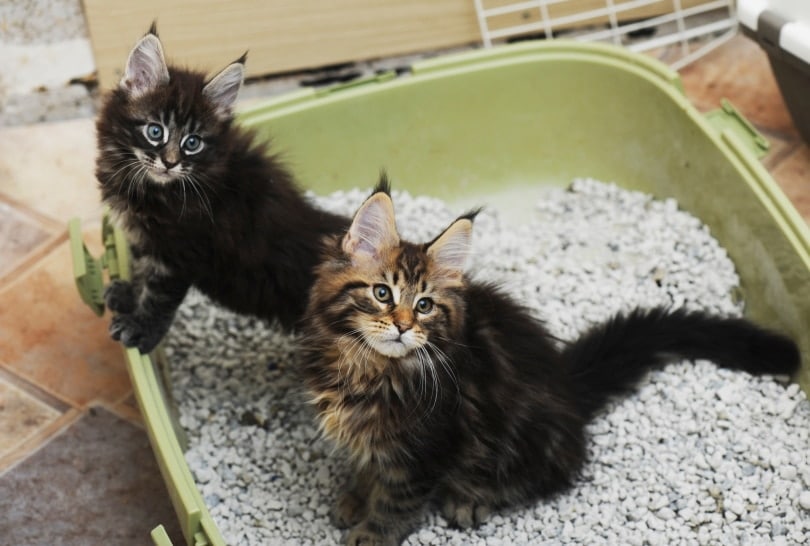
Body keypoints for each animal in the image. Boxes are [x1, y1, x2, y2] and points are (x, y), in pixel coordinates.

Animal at [94, 24, 348, 352]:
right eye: (155, 131)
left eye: (192, 142)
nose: (170, 163)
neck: (153, 188)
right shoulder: (145, 241)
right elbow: (140, 272)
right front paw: (128, 296)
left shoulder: (179, 254)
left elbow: (158, 296)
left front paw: (141, 329)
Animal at [300, 178, 800, 544]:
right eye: (382, 293)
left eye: (424, 305)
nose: (403, 326)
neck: (368, 368)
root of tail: (567, 385)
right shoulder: (374, 440)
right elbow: (368, 469)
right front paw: (355, 496)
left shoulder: (427, 448)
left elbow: (396, 502)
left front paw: (370, 533)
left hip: (522, 445)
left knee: (539, 476)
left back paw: (473, 499)